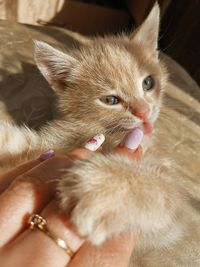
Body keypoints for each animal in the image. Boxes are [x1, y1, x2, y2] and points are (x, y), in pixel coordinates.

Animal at [0, 3, 200, 266]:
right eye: (111, 100)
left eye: (148, 83)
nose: (144, 112)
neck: (103, 131)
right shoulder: (44, 143)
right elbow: (17, 141)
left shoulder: (173, 219)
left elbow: (159, 188)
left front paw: (103, 189)